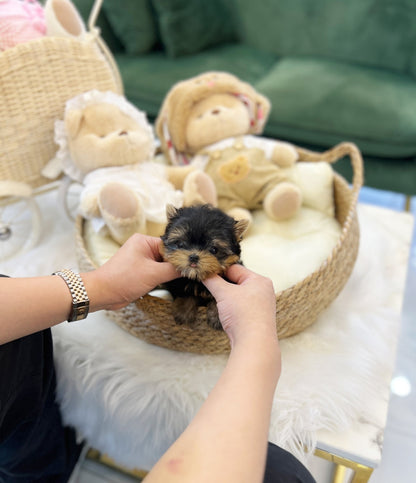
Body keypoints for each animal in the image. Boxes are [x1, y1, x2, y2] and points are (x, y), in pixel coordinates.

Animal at [161, 202, 249, 330]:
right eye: (180, 244)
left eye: (214, 250)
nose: (193, 257)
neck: (197, 279)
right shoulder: (177, 283)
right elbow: (184, 291)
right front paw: (184, 311)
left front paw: (217, 316)